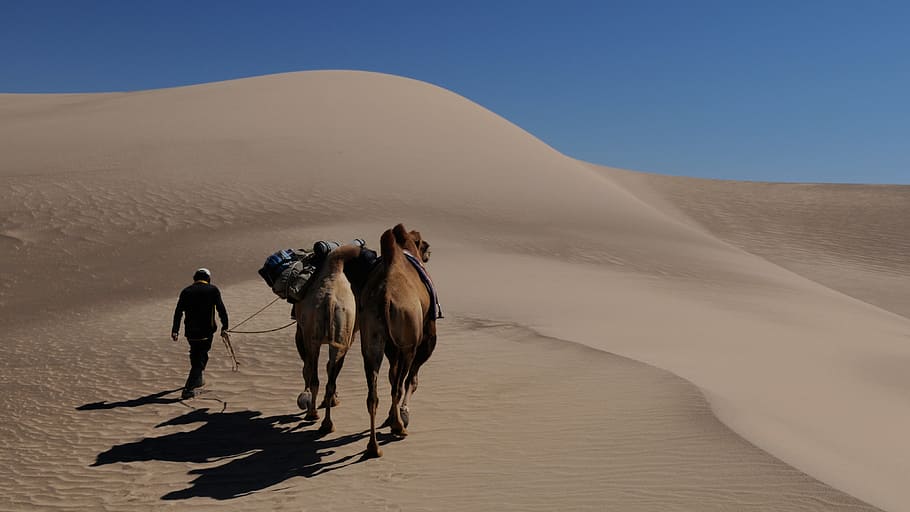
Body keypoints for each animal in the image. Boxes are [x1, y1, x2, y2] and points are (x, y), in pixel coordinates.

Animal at [293, 243, 375, 433]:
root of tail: (329, 301)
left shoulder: (302, 331)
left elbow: (308, 368)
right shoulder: (348, 337)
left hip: (316, 337)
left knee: (315, 375)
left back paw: (314, 415)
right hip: (339, 335)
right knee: (328, 375)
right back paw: (326, 422)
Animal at [359, 223, 437, 457]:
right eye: (423, 243)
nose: (429, 251)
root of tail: (385, 297)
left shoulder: (389, 347)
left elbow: (392, 375)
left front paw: (392, 415)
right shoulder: (426, 336)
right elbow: (412, 380)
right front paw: (403, 414)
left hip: (371, 341)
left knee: (373, 393)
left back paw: (373, 447)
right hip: (407, 341)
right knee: (399, 385)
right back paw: (399, 428)